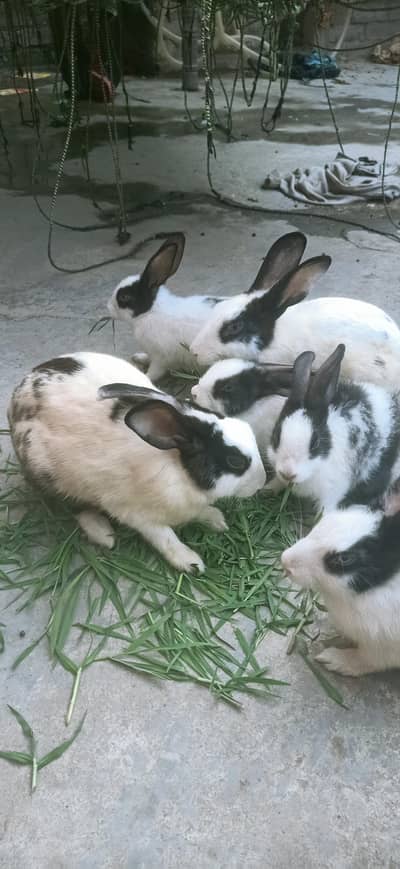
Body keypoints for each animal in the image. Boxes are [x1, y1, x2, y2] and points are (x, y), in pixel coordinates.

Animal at [8, 352, 266, 573]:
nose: (262, 482)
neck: (178, 468)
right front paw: (190, 562)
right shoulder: (136, 514)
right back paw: (103, 534)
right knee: (76, 507)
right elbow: (165, 538)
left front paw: (216, 520)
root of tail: (17, 395)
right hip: (49, 473)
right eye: (235, 461)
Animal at [107, 230, 308, 382]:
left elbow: (155, 372)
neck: (151, 311)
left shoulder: (161, 357)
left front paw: (144, 377)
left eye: (124, 297)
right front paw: (138, 357)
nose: (108, 307)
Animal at [267, 343, 400, 512]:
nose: (288, 473)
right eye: (276, 436)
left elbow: (325, 509)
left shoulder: (332, 490)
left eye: (315, 443)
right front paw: (265, 489)